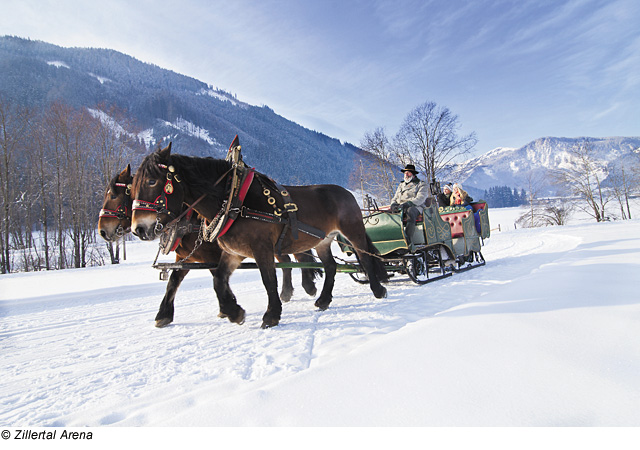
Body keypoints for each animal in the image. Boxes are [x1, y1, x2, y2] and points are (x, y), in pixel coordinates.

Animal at [98, 164, 320, 326]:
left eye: (113, 195)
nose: (102, 230)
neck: (189, 218)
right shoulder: (186, 257)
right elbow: (174, 281)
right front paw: (164, 314)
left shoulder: (212, 256)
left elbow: (217, 278)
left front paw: (229, 308)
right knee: (288, 260)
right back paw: (288, 291)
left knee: (299, 257)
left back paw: (307, 286)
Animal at [131, 142, 384, 328]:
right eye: (131, 187)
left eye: (152, 181)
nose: (138, 229)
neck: (232, 200)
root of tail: (348, 194)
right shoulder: (233, 253)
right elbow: (218, 279)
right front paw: (234, 312)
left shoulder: (261, 248)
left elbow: (268, 279)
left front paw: (271, 315)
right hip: (323, 240)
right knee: (330, 266)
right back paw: (322, 300)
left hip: (353, 231)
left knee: (365, 258)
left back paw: (378, 290)